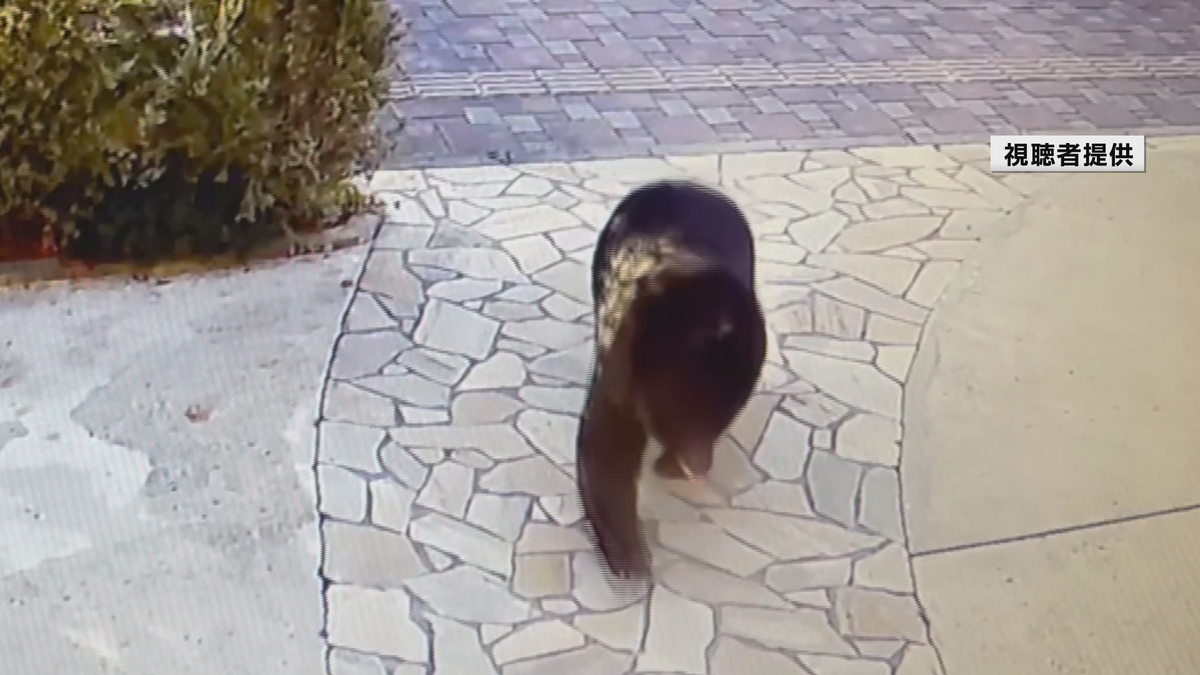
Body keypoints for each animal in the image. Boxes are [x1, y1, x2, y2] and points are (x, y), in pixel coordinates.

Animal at [576, 180, 767, 580]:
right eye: (671, 411)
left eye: (724, 414)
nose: (696, 467)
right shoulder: (618, 363)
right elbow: (607, 444)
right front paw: (630, 560)